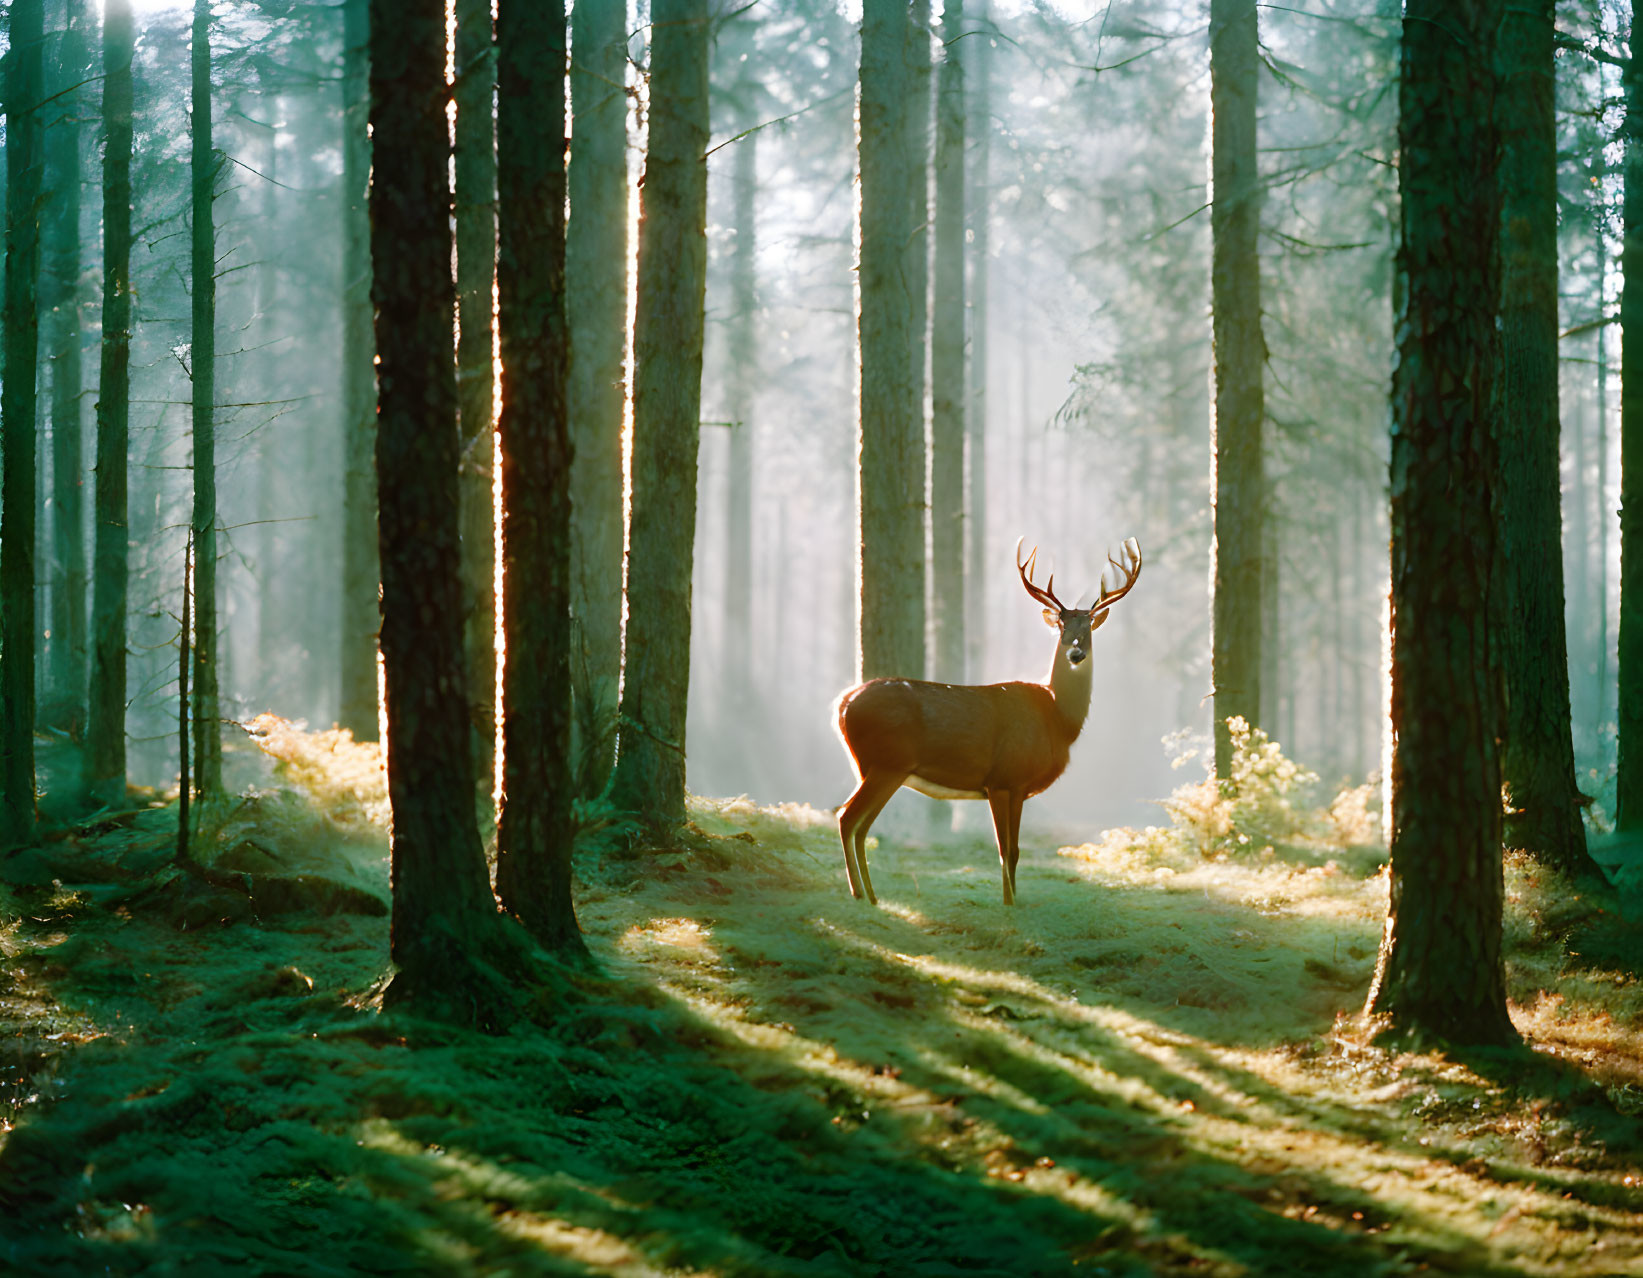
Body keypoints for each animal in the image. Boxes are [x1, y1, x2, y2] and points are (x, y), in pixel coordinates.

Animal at [834, 532, 1143, 900]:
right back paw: (858, 894)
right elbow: (1008, 851)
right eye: (1061, 627)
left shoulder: (1009, 784)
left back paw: (869, 895)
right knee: (847, 818)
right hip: (886, 762)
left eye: (1089, 628)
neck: (1059, 720)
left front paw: (1011, 901)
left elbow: (1011, 851)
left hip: (878, 767)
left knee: (859, 824)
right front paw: (1011, 904)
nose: (1076, 653)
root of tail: (843, 704)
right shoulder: (1006, 777)